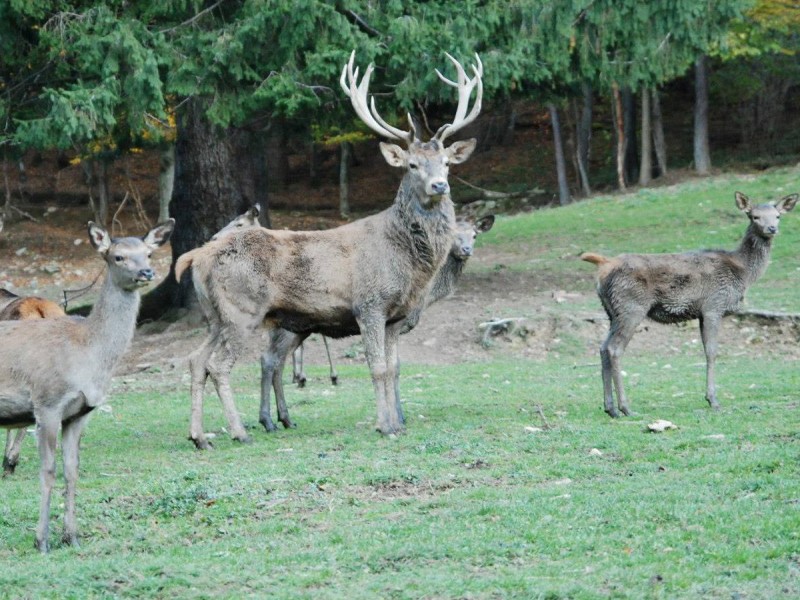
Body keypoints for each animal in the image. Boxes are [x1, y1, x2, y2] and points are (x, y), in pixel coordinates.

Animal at [255, 214, 495, 432]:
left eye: (474, 234)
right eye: (454, 235)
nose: (466, 249)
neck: (425, 295)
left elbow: (395, 366)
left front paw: (398, 416)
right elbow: (391, 367)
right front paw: (398, 416)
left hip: (298, 328)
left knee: (278, 362)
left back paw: (285, 419)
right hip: (285, 326)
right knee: (269, 359)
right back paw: (268, 421)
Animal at [581, 192, 797, 418]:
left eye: (778, 216)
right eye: (754, 216)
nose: (771, 228)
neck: (744, 273)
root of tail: (603, 265)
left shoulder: (701, 313)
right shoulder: (714, 306)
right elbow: (712, 351)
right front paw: (713, 400)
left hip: (611, 312)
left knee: (603, 348)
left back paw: (610, 408)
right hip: (631, 307)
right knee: (614, 349)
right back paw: (626, 408)